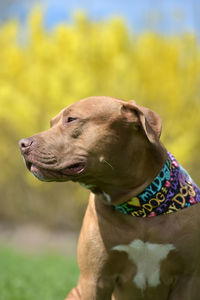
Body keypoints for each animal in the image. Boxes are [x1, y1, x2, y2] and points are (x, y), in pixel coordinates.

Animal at [18, 97, 200, 298]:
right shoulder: (94, 279)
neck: (140, 207)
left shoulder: (187, 279)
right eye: (51, 124)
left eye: (71, 119)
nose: (23, 144)